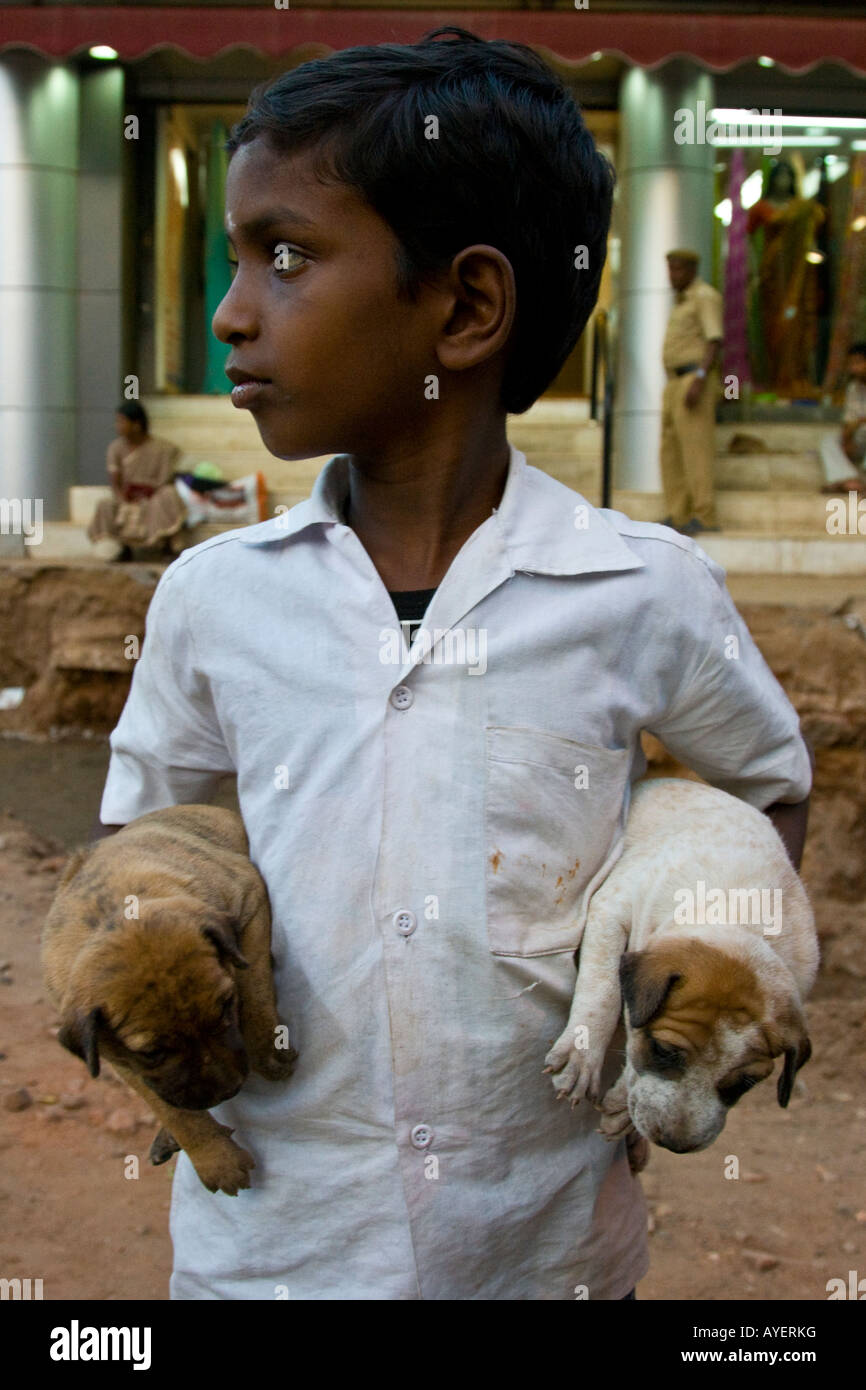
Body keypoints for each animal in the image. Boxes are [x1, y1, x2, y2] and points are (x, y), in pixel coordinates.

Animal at [40, 806, 296, 1195]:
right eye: (153, 1052)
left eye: (226, 1008)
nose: (228, 1091)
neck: (117, 911)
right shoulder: (121, 1059)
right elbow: (171, 1109)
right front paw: (215, 1158)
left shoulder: (249, 902)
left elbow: (254, 986)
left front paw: (269, 1049)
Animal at [544, 783, 817, 1150]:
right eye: (663, 1050)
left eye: (746, 1083)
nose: (676, 1144)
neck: (742, 920)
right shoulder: (611, 908)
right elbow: (602, 992)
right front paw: (580, 1054)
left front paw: (623, 1109)